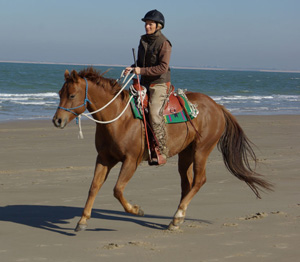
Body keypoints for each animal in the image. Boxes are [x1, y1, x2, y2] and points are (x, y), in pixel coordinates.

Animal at [52, 67, 274, 231]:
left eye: (71, 94)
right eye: (60, 93)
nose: (57, 121)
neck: (118, 118)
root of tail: (218, 107)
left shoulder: (131, 161)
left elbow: (117, 189)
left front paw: (137, 210)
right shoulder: (104, 158)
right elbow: (94, 187)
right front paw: (82, 221)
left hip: (201, 150)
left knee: (199, 180)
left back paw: (177, 217)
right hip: (186, 153)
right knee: (187, 184)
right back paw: (177, 219)